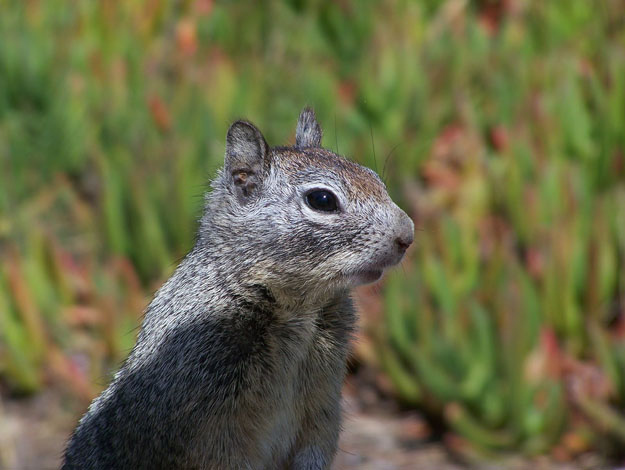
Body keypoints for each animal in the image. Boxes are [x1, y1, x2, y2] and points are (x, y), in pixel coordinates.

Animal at [62, 107, 414, 470]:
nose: (408, 235)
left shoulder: (324, 401)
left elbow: (318, 442)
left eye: (374, 177)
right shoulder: (208, 422)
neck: (299, 307)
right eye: (322, 200)